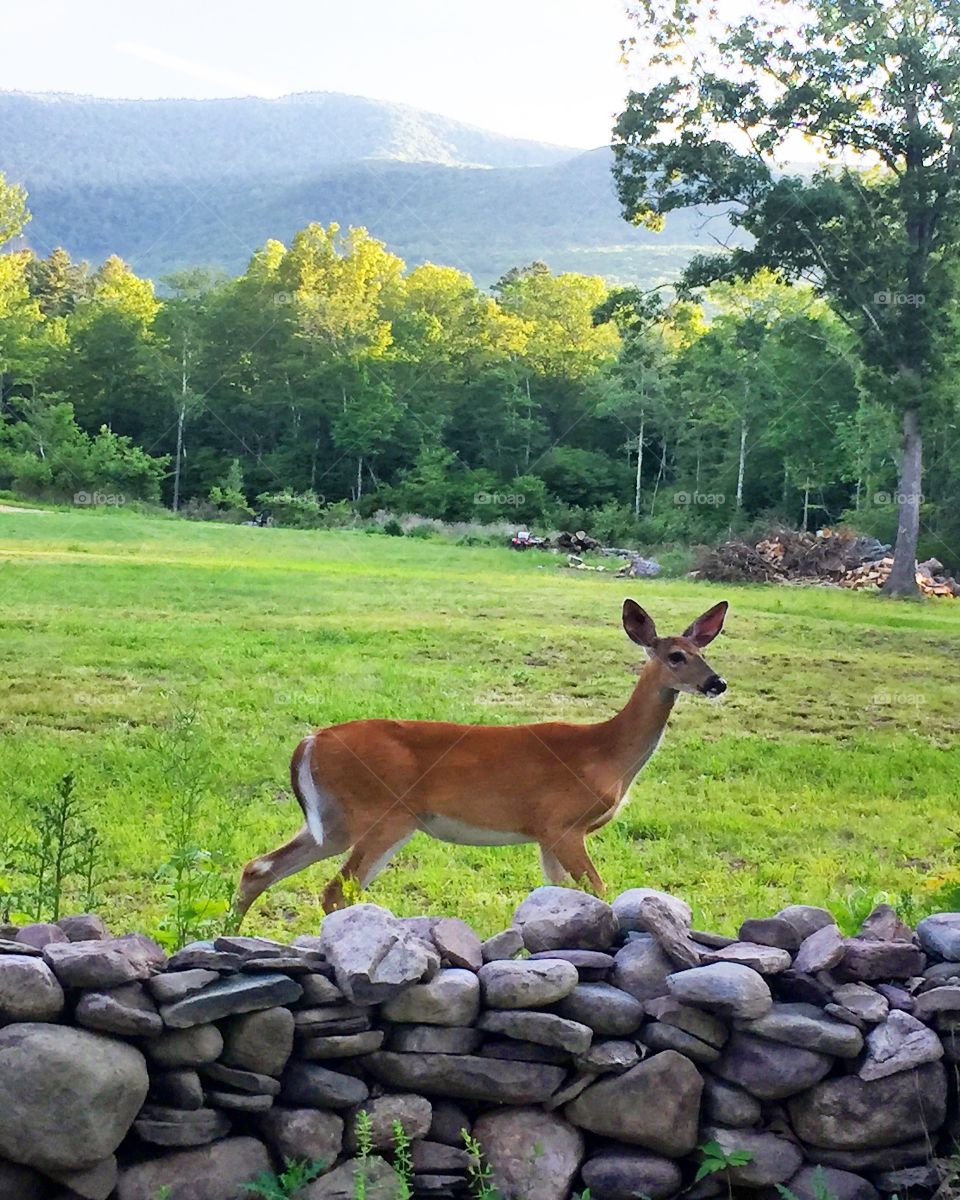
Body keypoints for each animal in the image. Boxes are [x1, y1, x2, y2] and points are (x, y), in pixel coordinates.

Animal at [233, 598, 728, 922]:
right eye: (676, 655)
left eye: (704, 652)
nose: (717, 683)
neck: (606, 752)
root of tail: (310, 740)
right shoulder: (562, 824)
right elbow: (600, 892)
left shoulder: (544, 835)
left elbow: (557, 898)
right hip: (385, 813)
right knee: (335, 892)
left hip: (335, 820)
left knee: (259, 867)